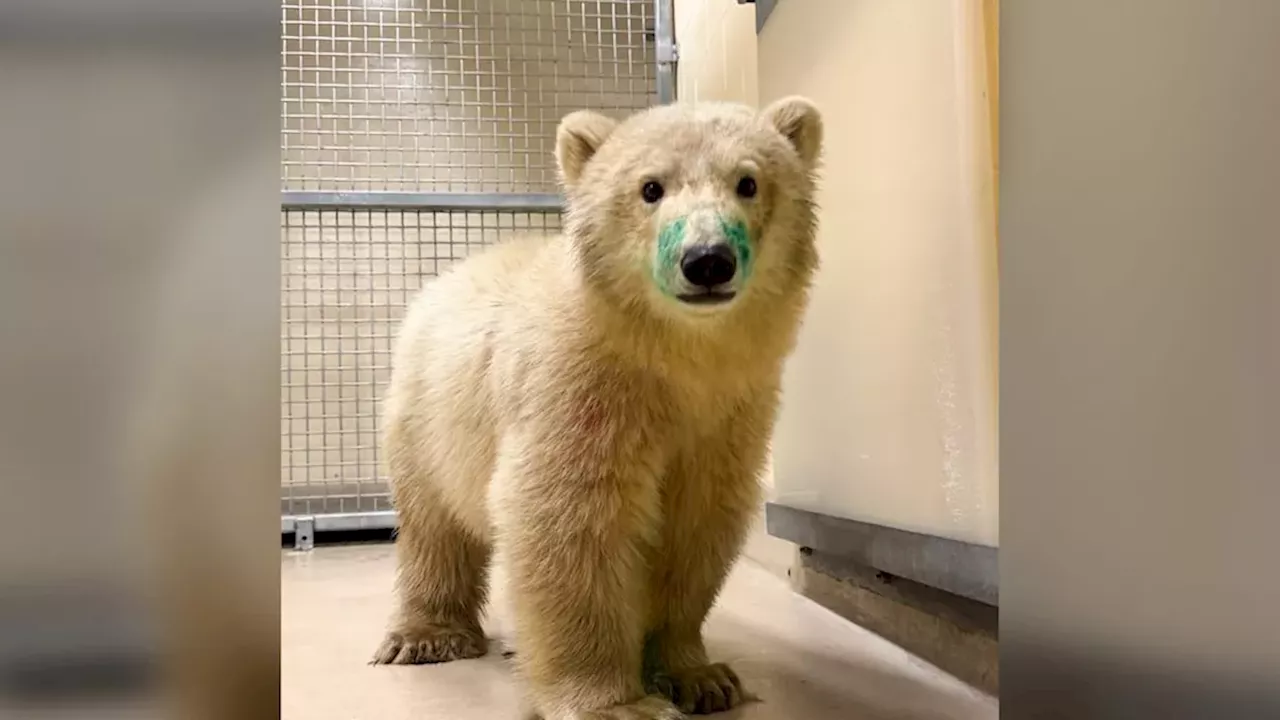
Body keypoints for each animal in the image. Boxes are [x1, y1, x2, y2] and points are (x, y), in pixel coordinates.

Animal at [371, 96, 824, 720]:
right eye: (650, 187)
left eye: (748, 181)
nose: (707, 260)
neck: (671, 360)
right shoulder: (580, 390)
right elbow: (568, 518)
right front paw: (619, 704)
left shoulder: (729, 413)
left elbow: (695, 524)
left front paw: (700, 676)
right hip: (427, 414)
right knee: (433, 526)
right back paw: (428, 636)